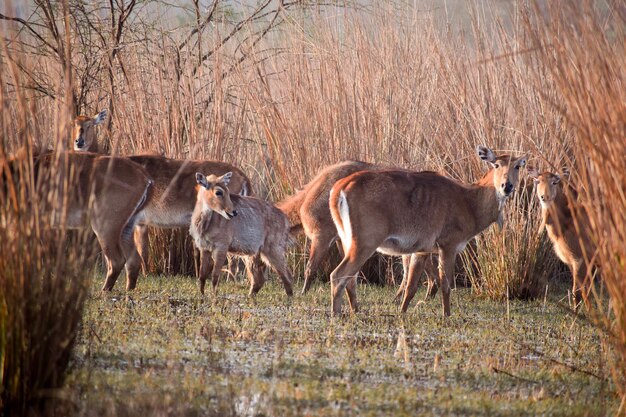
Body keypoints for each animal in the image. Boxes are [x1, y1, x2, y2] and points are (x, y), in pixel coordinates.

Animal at [2, 149, 154, 290]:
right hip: (126, 228)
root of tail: (144, 175)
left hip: (105, 226)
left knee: (117, 260)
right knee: (133, 260)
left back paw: (104, 292)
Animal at [74, 107, 255, 284]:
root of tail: (243, 176)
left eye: (90, 124)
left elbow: (141, 249)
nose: (79, 142)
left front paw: (144, 275)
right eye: (74, 123)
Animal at [326, 146, 528, 316]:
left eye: (517, 166)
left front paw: (402, 313)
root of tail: (340, 188)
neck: (469, 201)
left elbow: (411, 287)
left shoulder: (421, 250)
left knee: (350, 279)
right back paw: (336, 314)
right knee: (338, 275)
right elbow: (445, 284)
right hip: (365, 242)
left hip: (347, 240)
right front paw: (447, 315)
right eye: (496, 164)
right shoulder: (448, 246)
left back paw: (355, 311)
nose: (507, 186)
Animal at [524, 165, 592, 306]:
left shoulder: (579, 259)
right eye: (537, 181)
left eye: (555, 182)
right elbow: (582, 292)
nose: (544, 197)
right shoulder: (572, 262)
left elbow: (579, 293)